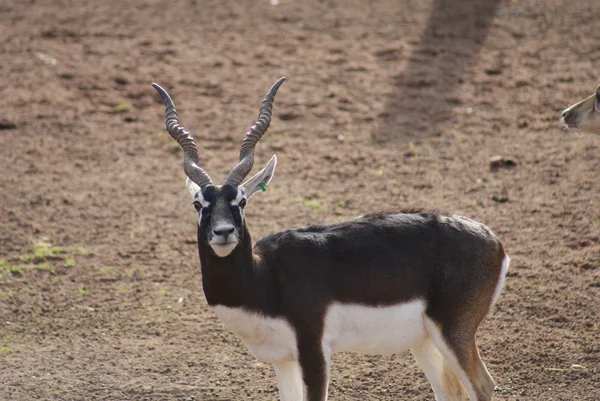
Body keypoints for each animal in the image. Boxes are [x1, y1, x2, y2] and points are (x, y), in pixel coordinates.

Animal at [152, 76, 508, 400]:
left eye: (241, 201)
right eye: (199, 204)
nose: (223, 232)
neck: (264, 279)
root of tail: (494, 241)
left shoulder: (313, 349)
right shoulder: (282, 360)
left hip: (453, 332)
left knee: (483, 386)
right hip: (424, 340)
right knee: (452, 392)